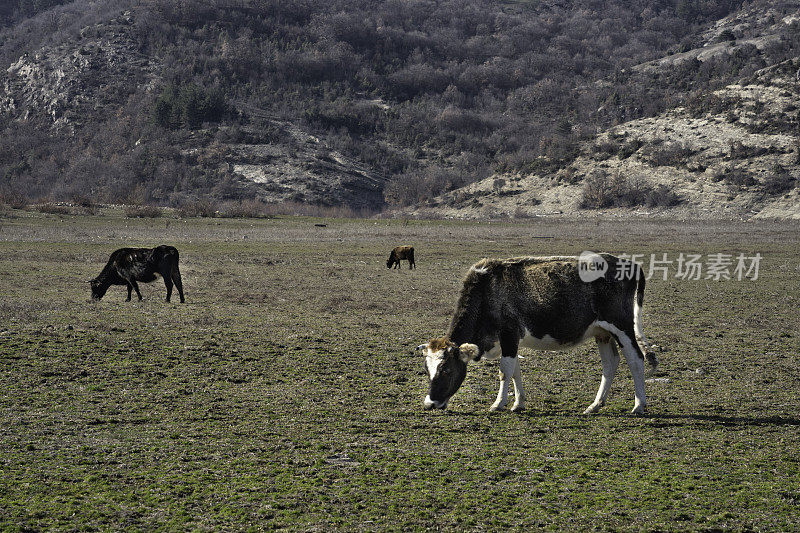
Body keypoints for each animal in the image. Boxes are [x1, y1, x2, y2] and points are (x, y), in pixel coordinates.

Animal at [418, 255, 656, 416]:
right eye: (427, 371)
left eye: (446, 369)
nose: (430, 404)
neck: (488, 292)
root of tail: (630, 265)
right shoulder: (510, 342)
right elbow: (515, 371)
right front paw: (518, 403)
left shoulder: (509, 335)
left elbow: (504, 372)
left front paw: (498, 404)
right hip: (603, 333)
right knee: (610, 364)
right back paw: (595, 405)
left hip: (622, 327)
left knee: (636, 359)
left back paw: (639, 405)